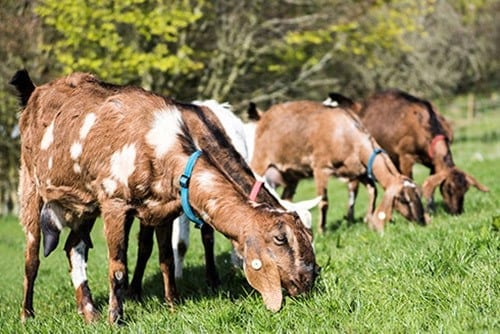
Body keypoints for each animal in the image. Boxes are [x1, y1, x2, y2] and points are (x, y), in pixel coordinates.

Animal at [11, 70, 318, 324]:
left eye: (309, 234)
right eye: (280, 239)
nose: (310, 278)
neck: (160, 143)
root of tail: (35, 91)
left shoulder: (162, 210)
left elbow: (166, 259)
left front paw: (172, 306)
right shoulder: (115, 204)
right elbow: (119, 267)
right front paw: (117, 318)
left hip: (85, 203)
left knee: (74, 246)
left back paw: (89, 313)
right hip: (30, 185)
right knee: (32, 257)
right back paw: (28, 314)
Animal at [250, 100, 426, 234]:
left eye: (418, 194)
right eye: (403, 199)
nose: (421, 221)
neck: (346, 133)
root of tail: (263, 115)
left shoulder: (359, 171)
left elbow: (373, 191)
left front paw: (368, 220)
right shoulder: (321, 168)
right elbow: (324, 201)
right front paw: (322, 230)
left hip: (292, 175)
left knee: (286, 198)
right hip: (260, 160)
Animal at [328, 90, 488, 213]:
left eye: (466, 190)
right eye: (449, 188)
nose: (457, 211)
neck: (425, 123)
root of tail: (357, 106)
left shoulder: (432, 162)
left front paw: (430, 209)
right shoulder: (405, 157)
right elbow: (409, 181)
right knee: (353, 187)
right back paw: (350, 217)